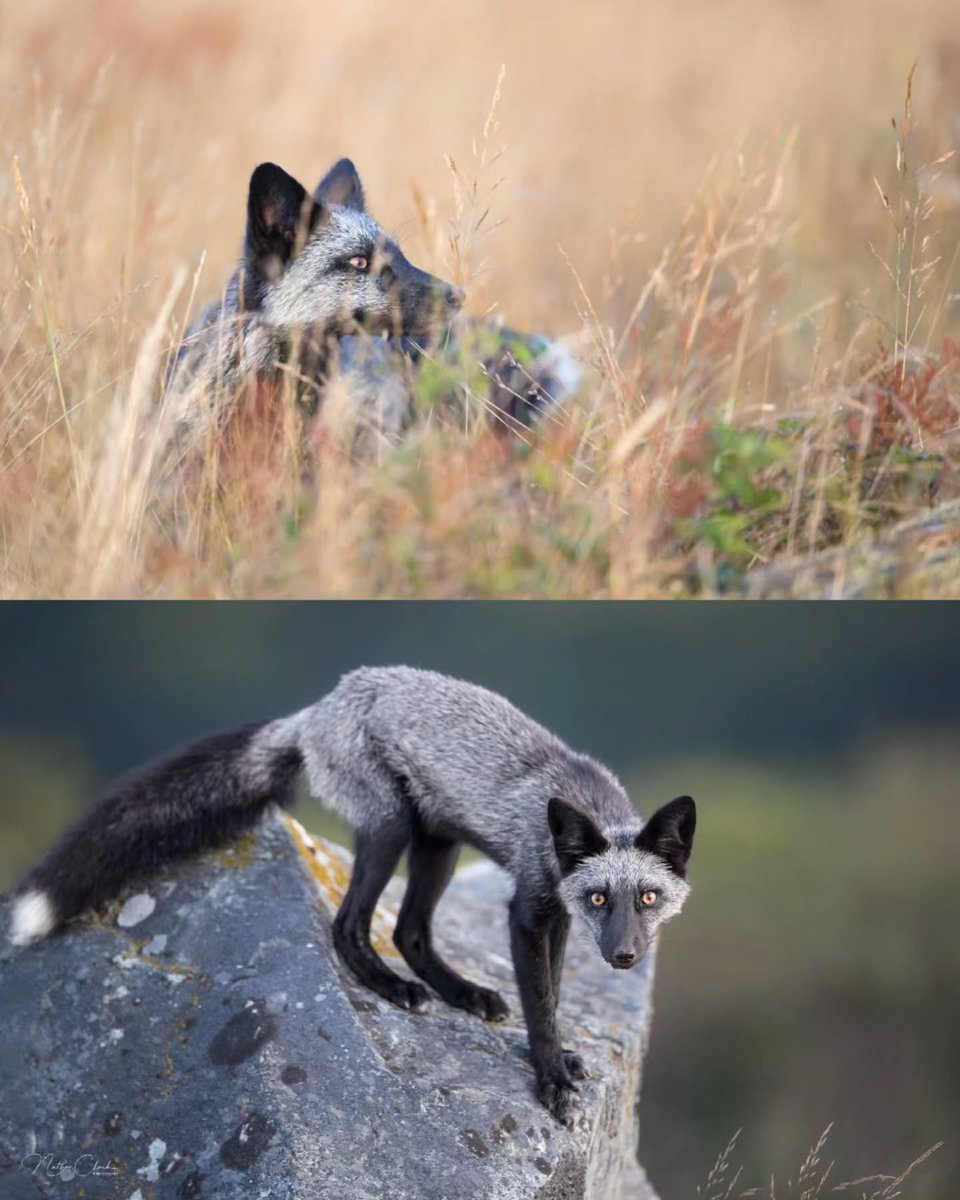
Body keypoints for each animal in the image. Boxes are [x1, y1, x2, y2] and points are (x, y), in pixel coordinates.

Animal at [8, 666, 695, 1125]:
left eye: (649, 898)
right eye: (602, 899)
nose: (625, 957)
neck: (581, 798)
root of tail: (322, 703)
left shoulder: (554, 912)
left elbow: (549, 994)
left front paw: (558, 1061)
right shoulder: (528, 907)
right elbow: (542, 1002)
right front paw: (551, 1080)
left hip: (436, 844)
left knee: (408, 932)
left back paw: (462, 993)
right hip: (390, 828)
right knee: (349, 928)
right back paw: (390, 988)